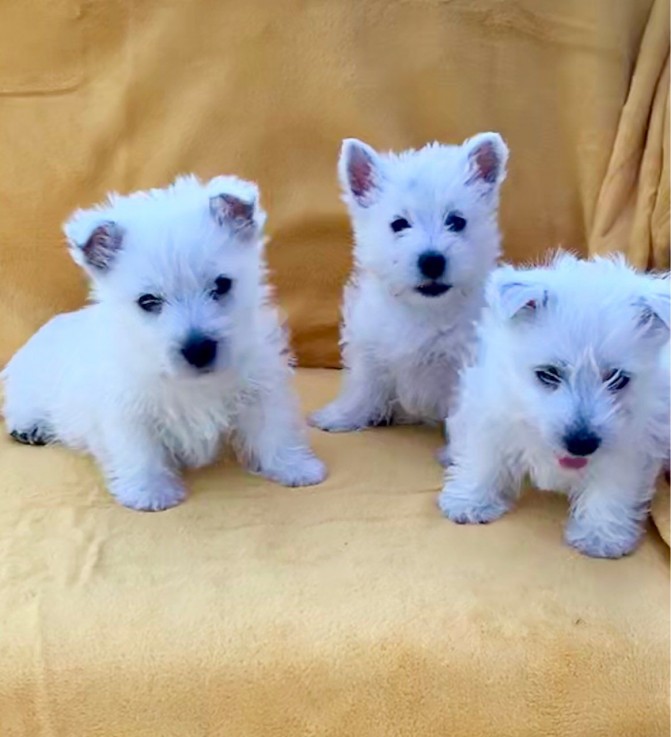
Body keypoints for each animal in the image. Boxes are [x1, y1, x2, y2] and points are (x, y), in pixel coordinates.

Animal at [1, 177, 328, 512]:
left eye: (222, 284)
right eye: (148, 301)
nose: (199, 350)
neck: (193, 385)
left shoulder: (260, 387)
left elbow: (274, 430)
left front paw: (295, 467)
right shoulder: (127, 408)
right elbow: (140, 450)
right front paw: (150, 492)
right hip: (30, 383)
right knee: (20, 404)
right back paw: (30, 427)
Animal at [310, 132, 510, 442]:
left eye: (456, 221)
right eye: (399, 224)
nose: (432, 261)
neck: (424, 311)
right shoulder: (370, 347)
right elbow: (363, 386)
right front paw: (341, 417)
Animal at [438, 250, 668, 556]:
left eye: (618, 379)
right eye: (548, 374)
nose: (582, 443)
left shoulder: (632, 441)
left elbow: (614, 485)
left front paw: (599, 536)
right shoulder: (491, 410)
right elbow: (484, 458)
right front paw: (470, 502)